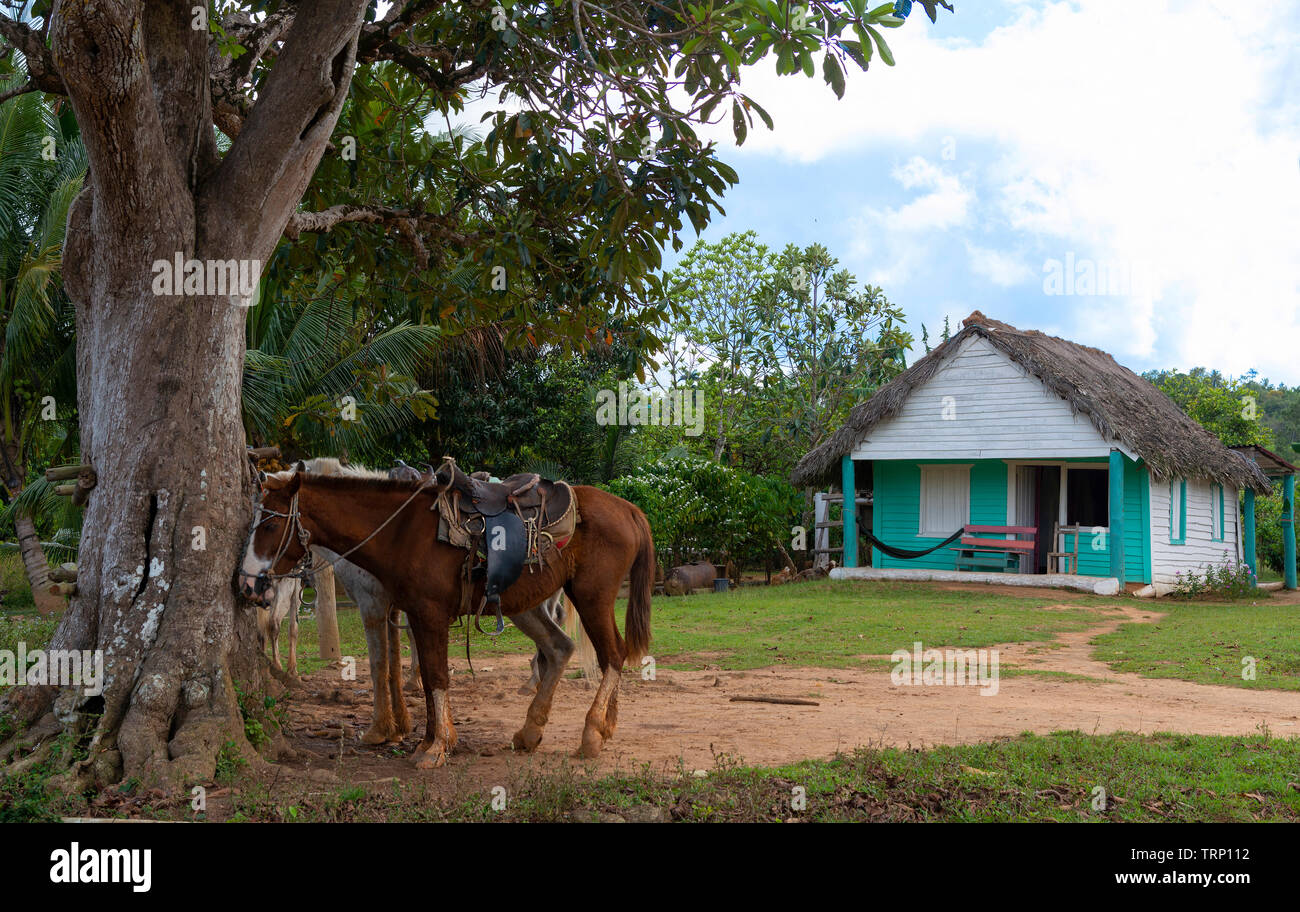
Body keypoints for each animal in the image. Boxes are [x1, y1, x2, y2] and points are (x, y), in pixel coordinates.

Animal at [236, 467, 650, 769]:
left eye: (270, 525)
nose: (247, 584)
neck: (401, 532)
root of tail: (628, 509)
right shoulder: (415, 615)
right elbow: (423, 677)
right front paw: (426, 741)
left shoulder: (429, 613)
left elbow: (435, 677)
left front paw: (437, 748)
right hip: (532, 607)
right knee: (561, 648)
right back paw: (533, 732)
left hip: (592, 596)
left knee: (612, 655)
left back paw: (592, 733)